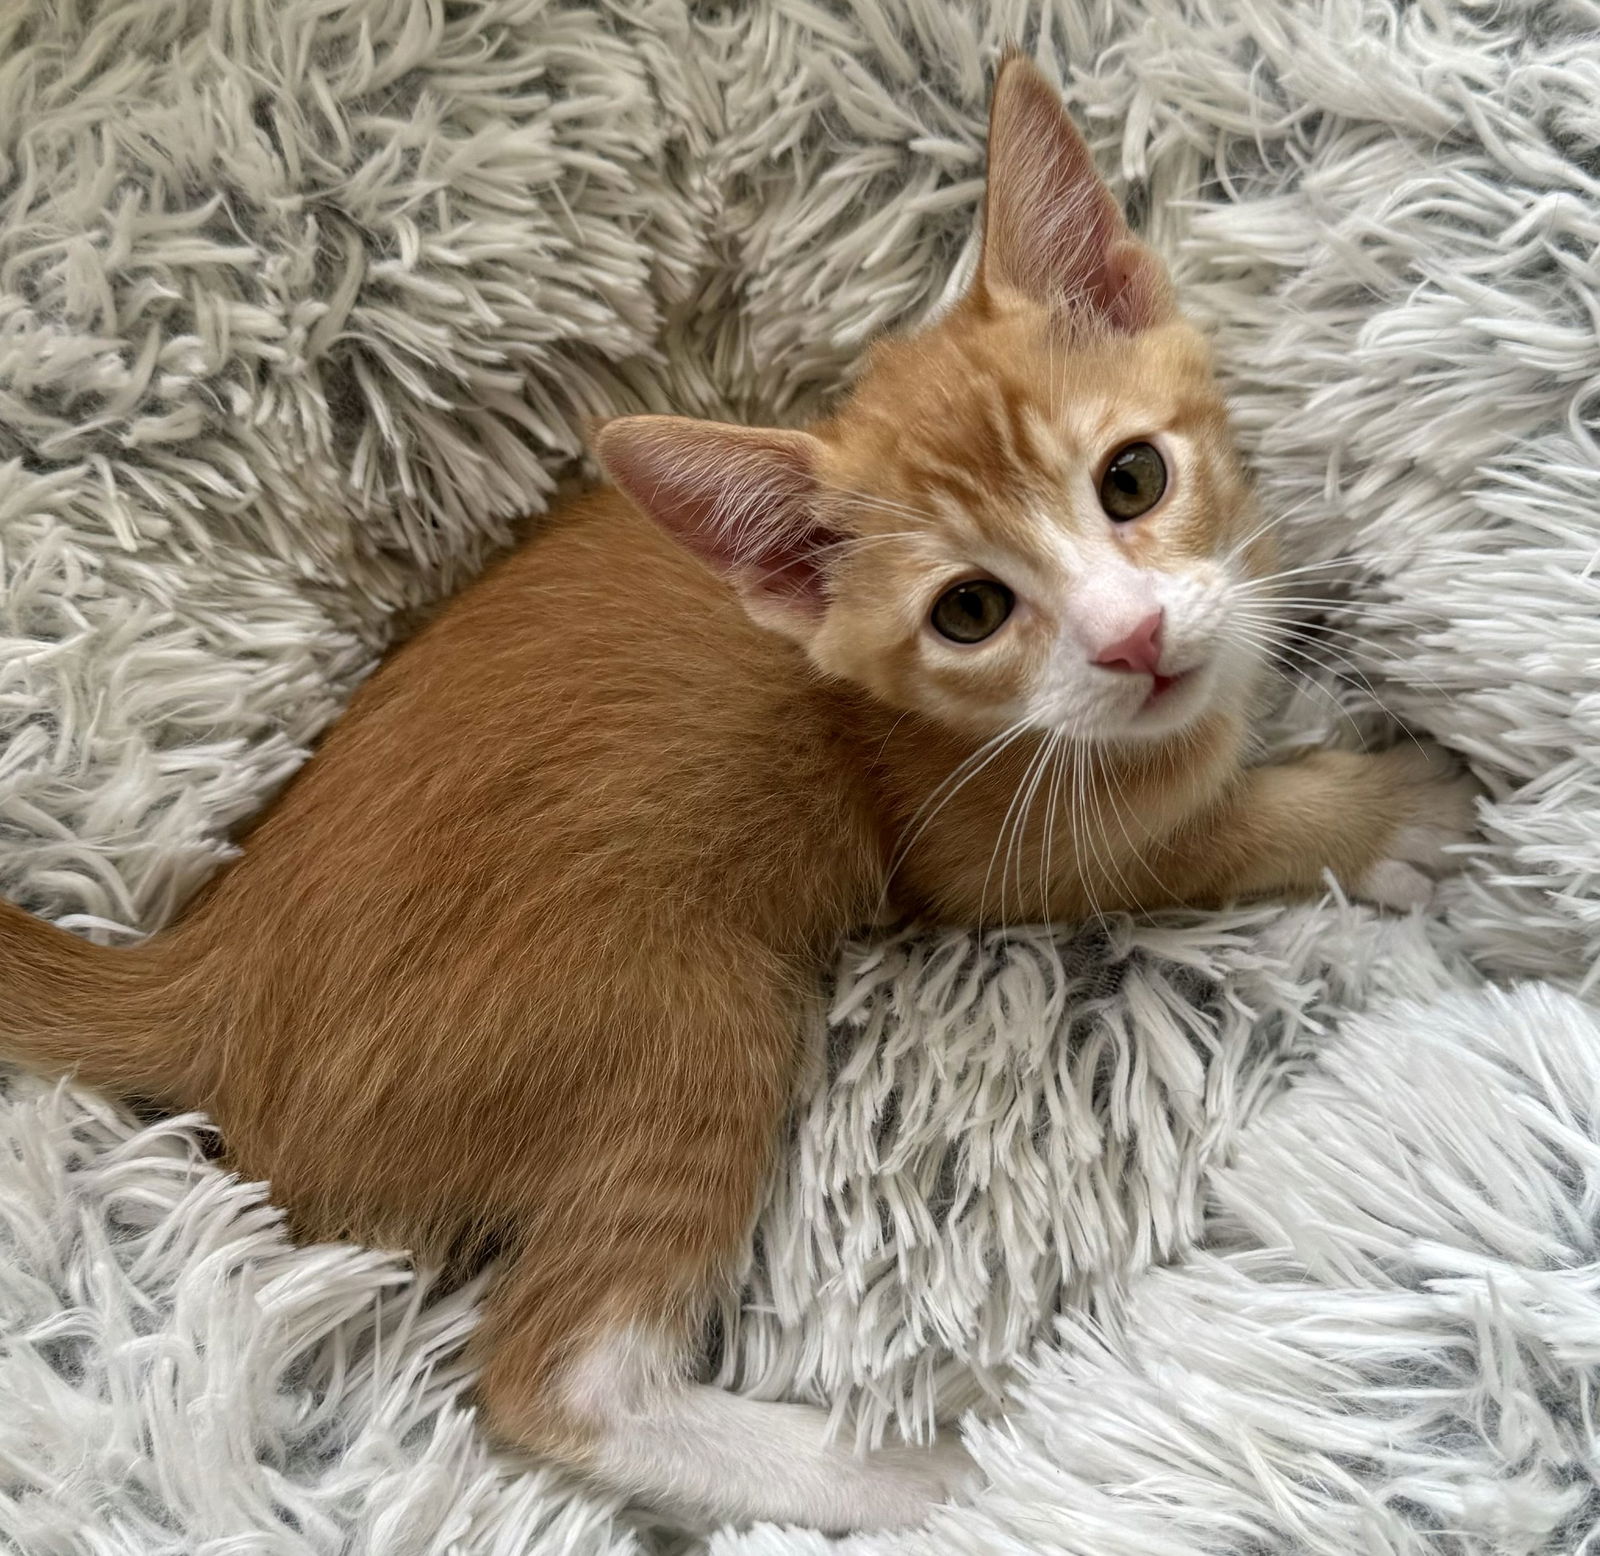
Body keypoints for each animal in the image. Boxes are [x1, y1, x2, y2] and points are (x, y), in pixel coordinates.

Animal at [0, 57, 1472, 1530]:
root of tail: (208, 962)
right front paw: (1385, 811)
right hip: (680, 1009)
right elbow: (1201, 832)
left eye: (1132, 477)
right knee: (561, 1379)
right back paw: (904, 1473)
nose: (1132, 638)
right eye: (972, 610)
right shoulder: (988, 847)